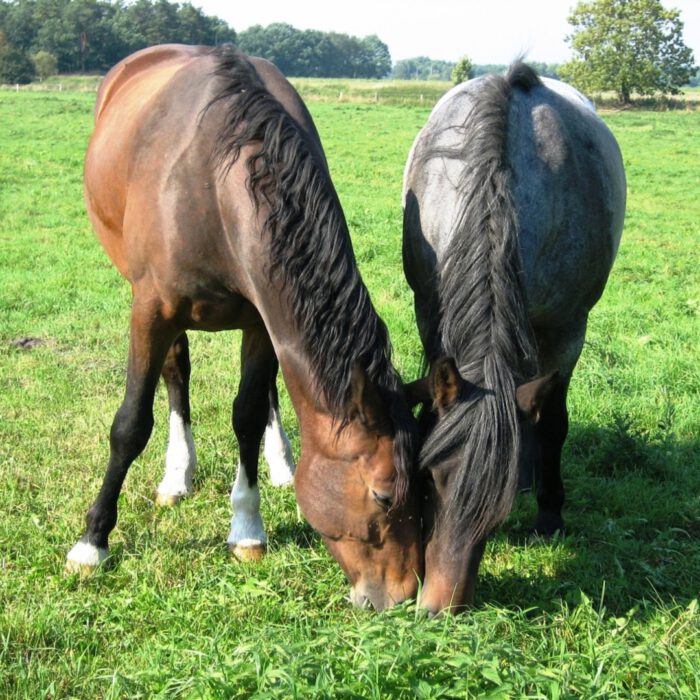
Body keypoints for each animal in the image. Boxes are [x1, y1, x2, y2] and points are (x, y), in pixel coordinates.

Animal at [67, 43, 422, 608]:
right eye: (383, 495)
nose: (402, 594)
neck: (213, 181)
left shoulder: (263, 319)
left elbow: (248, 415)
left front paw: (248, 528)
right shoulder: (151, 310)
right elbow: (130, 424)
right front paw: (92, 541)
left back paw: (279, 462)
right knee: (176, 372)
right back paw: (177, 475)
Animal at [402, 64, 628, 612]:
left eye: (497, 508)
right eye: (430, 479)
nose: (441, 607)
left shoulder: (567, 333)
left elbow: (554, 423)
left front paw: (550, 514)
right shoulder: (429, 314)